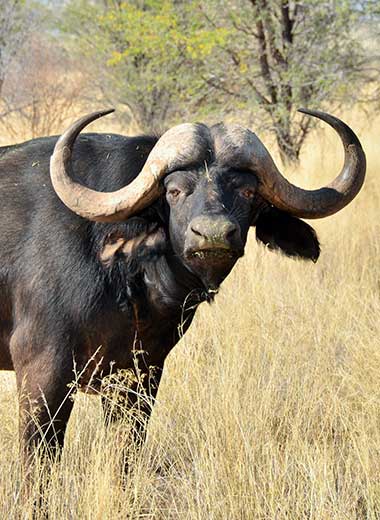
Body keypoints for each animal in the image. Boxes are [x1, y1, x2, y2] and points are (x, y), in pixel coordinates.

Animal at [0, 109, 368, 464]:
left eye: (247, 192)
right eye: (175, 191)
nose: (213, 234)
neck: (129, 282)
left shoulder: (141, 377)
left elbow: (126, 454)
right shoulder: (43, 374)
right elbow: (41, 463)